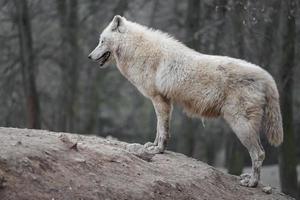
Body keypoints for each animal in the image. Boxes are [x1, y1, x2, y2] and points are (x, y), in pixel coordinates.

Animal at [88, 15, 284, 188]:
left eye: (101, 41)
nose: (89, 56)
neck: (138, 50)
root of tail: (267, 77)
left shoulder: (159, 100)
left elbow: (162, 130)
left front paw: (158, 150)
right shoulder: (164, 102)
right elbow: (160, 130)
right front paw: (153, 146)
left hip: (240, 126)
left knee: (259, 154)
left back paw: (252, 183)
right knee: (260, 153)